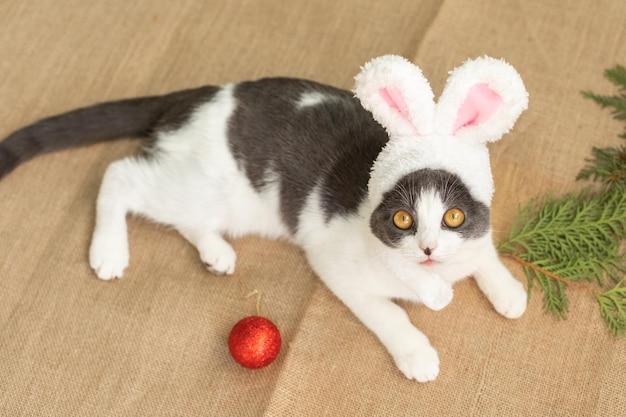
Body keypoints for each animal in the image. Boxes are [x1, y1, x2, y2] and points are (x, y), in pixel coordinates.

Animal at [0, 56, 528, 384]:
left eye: (454, 216)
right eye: (402, 219)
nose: (428, 248)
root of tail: (197, 96)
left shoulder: (473, 239)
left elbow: (483, 252)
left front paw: (507, 290)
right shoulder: (336, 265)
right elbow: (388, 311)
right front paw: (416, 351)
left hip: (224, 201)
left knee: (184, 212)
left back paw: (215, 251)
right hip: (208, 185)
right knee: (120, 174)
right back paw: (109, 249)